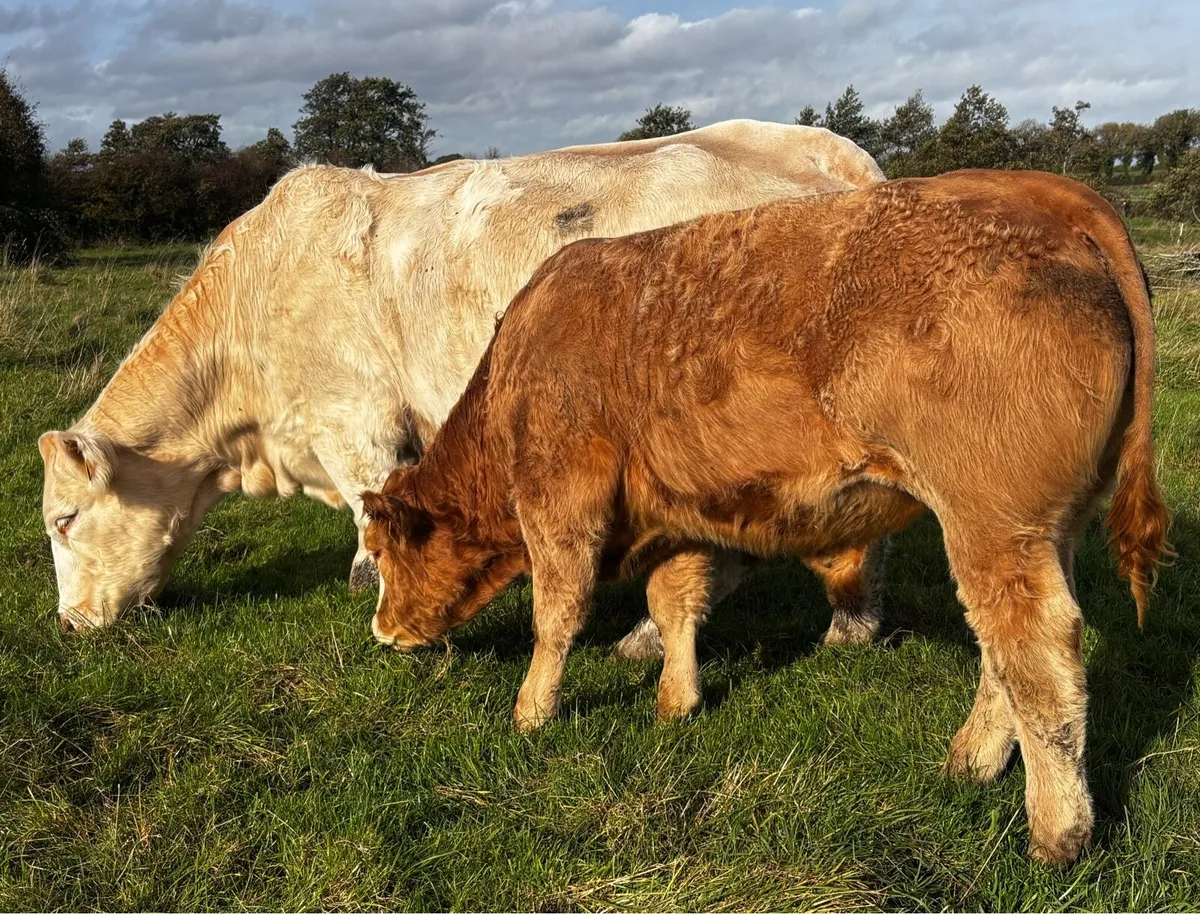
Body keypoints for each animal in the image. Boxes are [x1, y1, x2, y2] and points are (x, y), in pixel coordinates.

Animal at [361, 170, 1170, 865]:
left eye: (383, 550)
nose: (381, 631)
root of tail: (1045, 194)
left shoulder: (560, 504)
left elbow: (557, 615)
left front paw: (531, 714)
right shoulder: (682, 515)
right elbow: (676, 603)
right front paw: (675, 701)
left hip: (994, 524)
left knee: (1037, 652)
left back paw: (1056, 833)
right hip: (1043, 530)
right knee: (1004, 652)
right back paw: (970, 761)